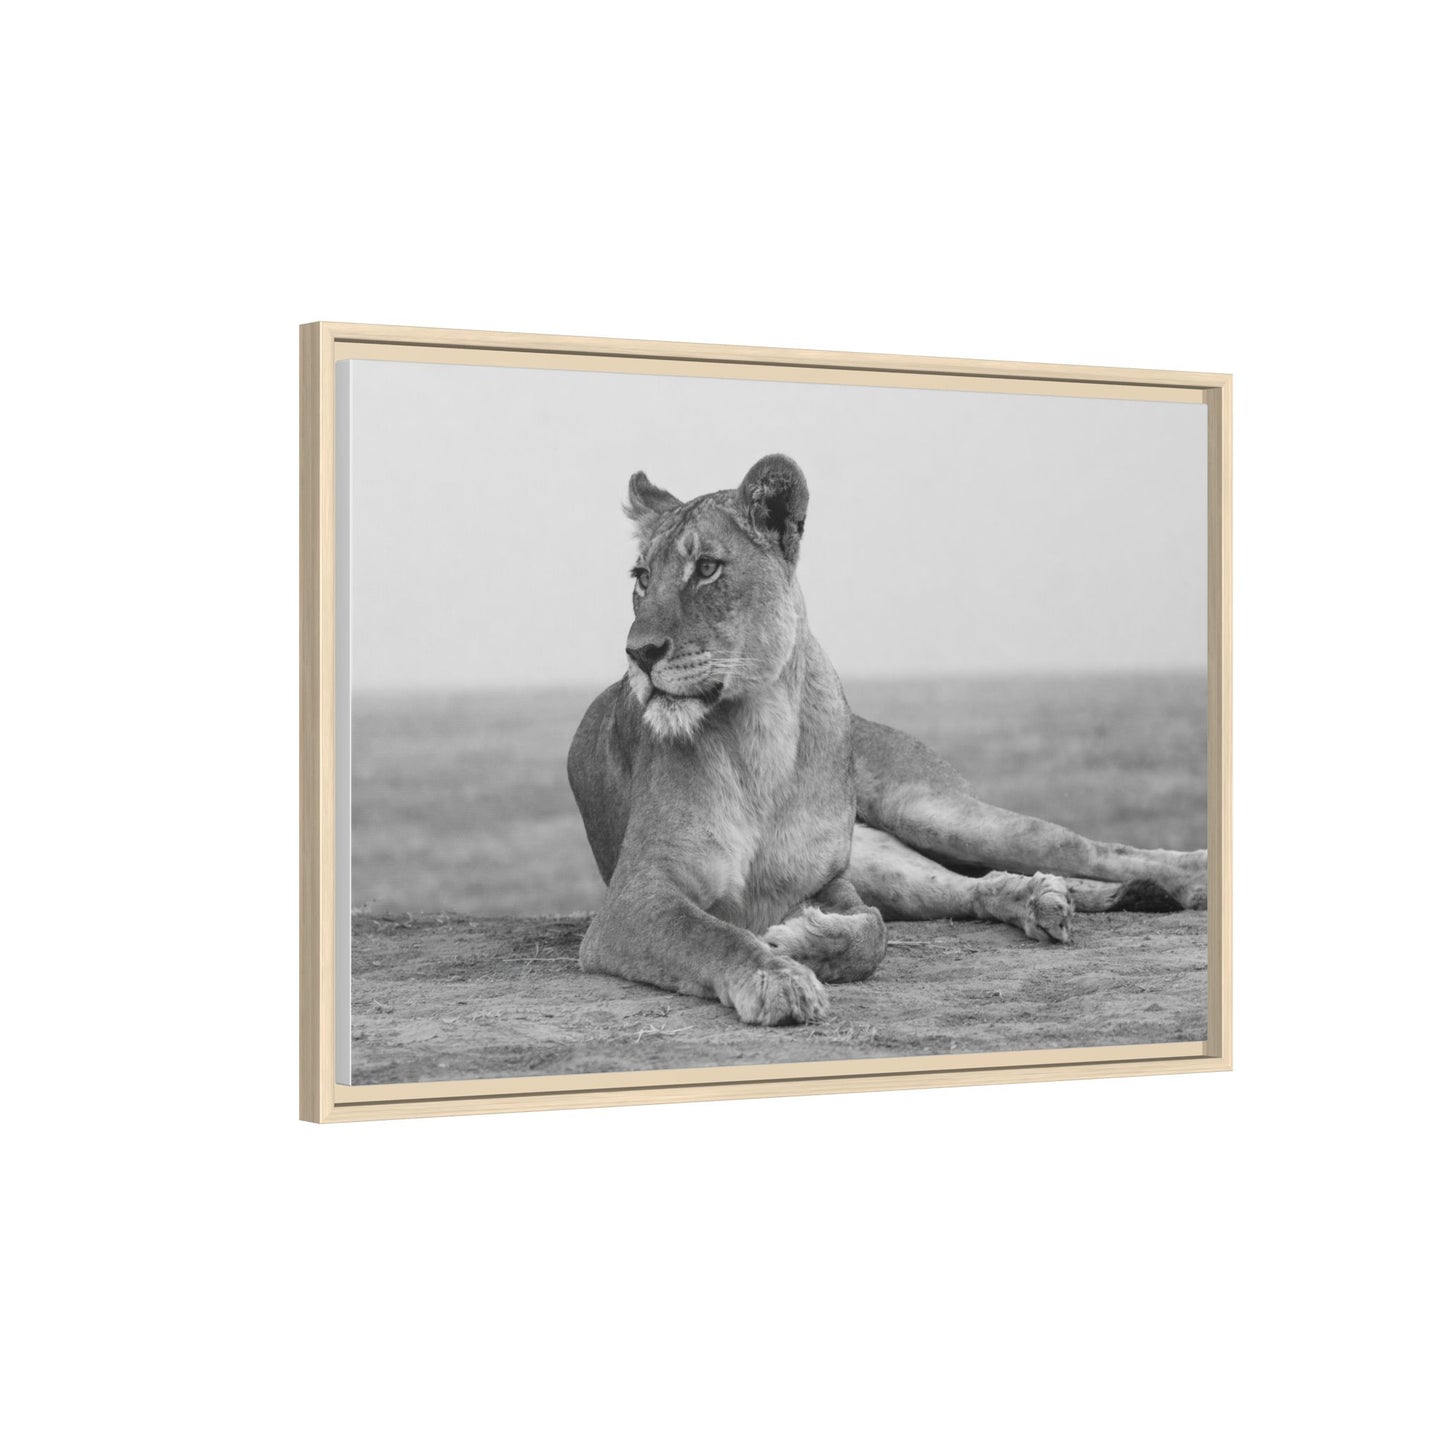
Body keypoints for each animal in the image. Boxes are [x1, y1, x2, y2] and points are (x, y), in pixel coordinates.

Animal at [567, 454, 1207, 1025]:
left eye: (706, 568)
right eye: (641, 578)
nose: (639, 653)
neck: (759, 734)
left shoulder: (828, 881)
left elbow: (871, 937)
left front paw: (798, 940)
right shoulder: (634, 899)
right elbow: (713, 935)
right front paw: (776, 976)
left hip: (928, 809)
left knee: (1082, 848)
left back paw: (1190, 875)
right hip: (887, 857)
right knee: (972, 887)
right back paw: (1040, 900)